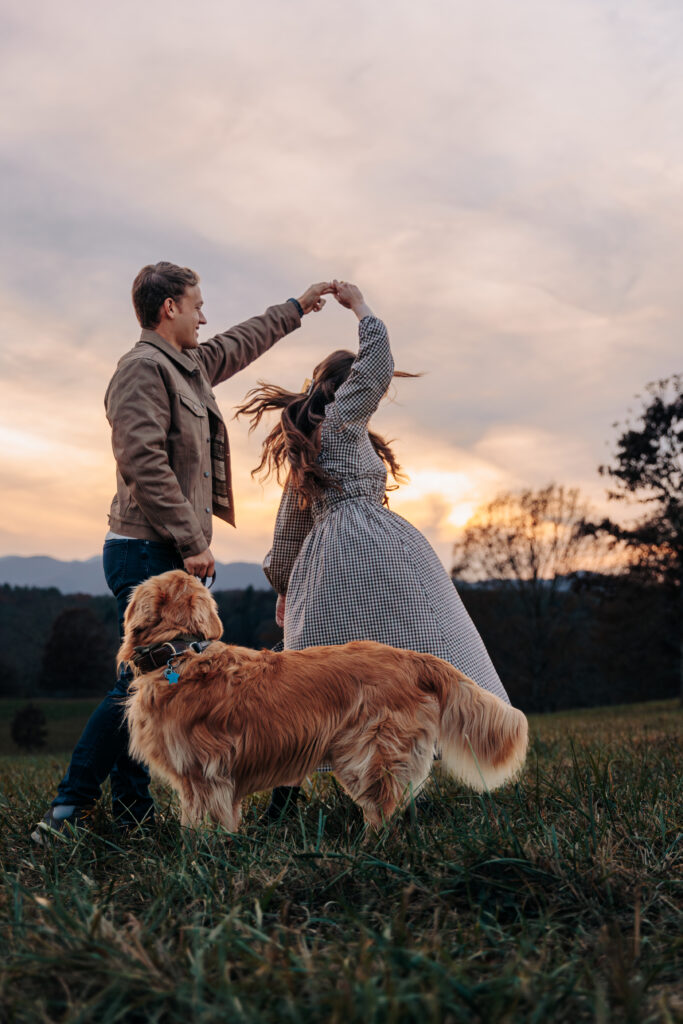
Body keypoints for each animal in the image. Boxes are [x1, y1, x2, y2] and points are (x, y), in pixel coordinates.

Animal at [121, 569, 528, 831]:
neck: (179, 652)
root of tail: (412, 657)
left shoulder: (204, 772)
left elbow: (201, 822)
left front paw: (203, 858)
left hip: (369, 751)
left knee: (383, 806)